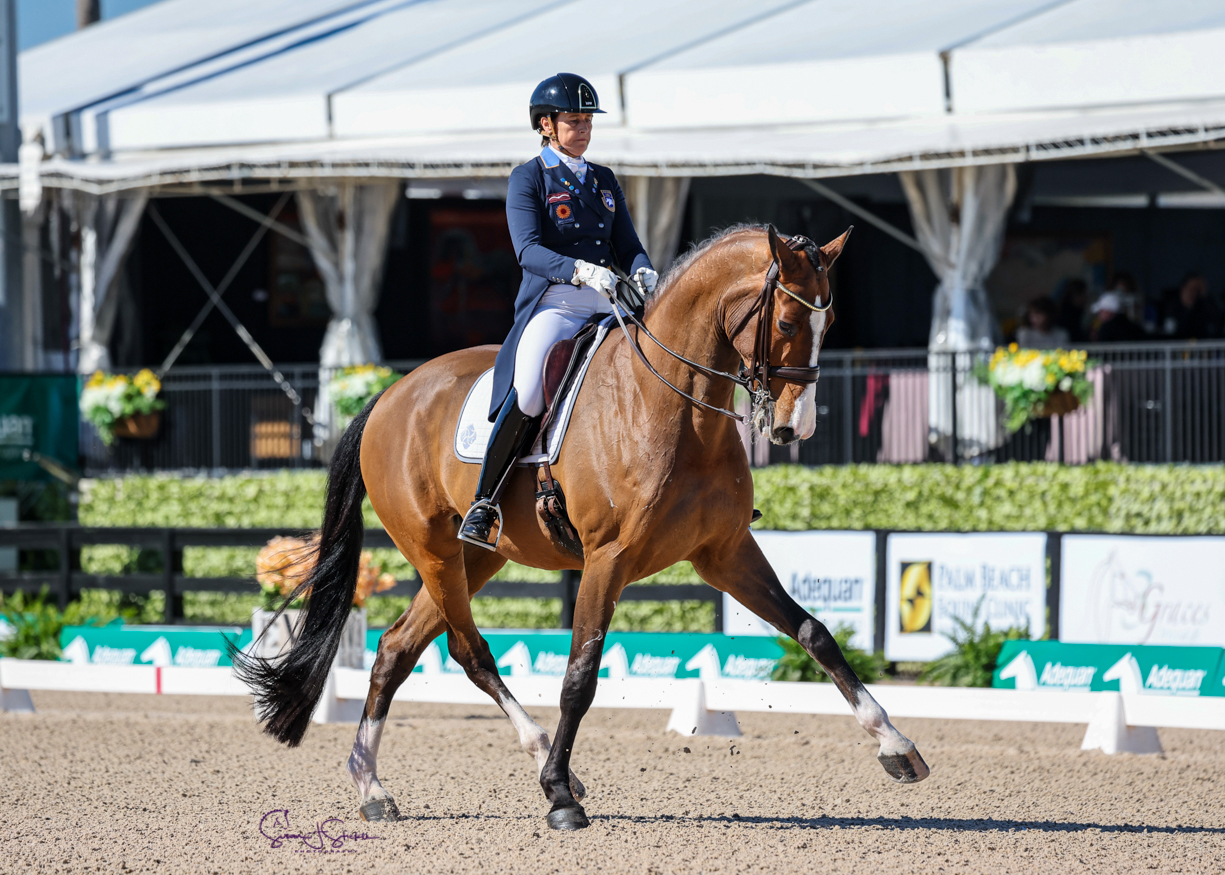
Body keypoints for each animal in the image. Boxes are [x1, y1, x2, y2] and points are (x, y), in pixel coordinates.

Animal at [233, 221, 926, 828]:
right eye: (784, 322)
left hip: (476, 555)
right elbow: (579, 678)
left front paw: (896, 747)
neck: (674, 407)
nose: (794, 429)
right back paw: (534, 761)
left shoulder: (725, 552)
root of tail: (389, 395)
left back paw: (373, 787)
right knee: (468, 650)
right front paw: (559, 798)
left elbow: (815, 634)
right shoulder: (607, 560)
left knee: (398, 648)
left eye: (829, 323)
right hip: (431, 550)